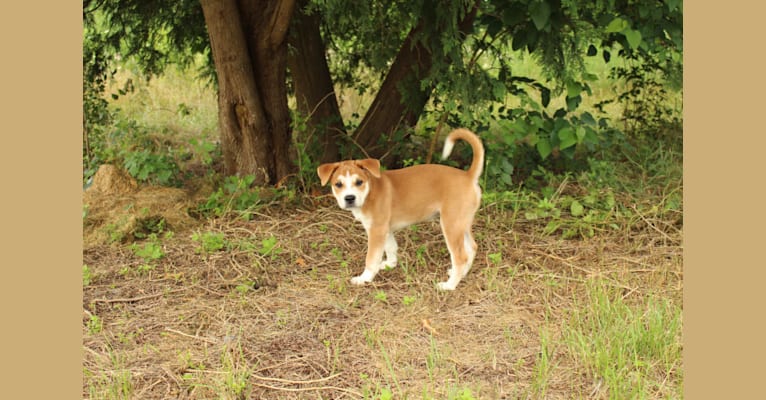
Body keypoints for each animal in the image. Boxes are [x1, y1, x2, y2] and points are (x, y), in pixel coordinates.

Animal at [318, 129, 486, 290]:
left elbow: (371, 258)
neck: (370, 192)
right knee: (472, 248)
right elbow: (391, 247)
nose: (349, 198)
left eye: (359, 182)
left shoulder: (376, 230)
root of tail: (468, 176)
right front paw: (390, 265)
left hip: (451, 225)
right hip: (462, 223)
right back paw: (462, 274)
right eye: (338, 184)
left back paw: (449, 285)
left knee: (460, 256)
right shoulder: (384, 229)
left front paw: (364, 278)